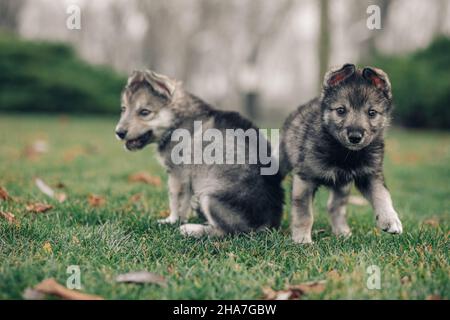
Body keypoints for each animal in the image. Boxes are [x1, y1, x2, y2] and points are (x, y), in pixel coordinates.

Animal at [114, 69, 284, 238]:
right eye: (123, 109)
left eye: (144, 112)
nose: (119, 132)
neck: (177, 121)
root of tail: (267, 224)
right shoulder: (186, 178)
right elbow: (184, 201)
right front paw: (178, 218)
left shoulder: (178, 174)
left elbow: (174, 199)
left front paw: (171, 220)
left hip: (210, 196)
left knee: (227, 231)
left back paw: (193, 229)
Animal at [282, 63, 404, 244]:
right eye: (341, 110)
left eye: (372, 113)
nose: (355, 137)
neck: (345, 154)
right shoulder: (305, 178)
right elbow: (304, 213)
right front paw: (302, 238)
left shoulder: (370, 174)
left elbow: (382, 194)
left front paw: (390, 219)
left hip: (343, 186)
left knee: (335, 207)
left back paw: (342, 232)